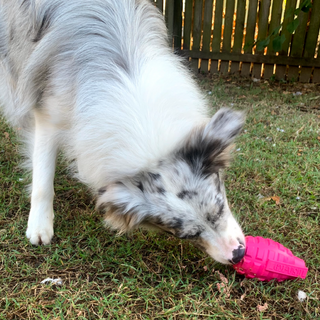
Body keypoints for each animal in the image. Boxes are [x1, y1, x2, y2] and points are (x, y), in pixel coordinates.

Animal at [0, 0, 245, 264]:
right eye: (187, 235)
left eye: (219, 209)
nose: (239, 255)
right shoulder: (48, 113)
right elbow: (43, 179)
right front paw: (40, 226)